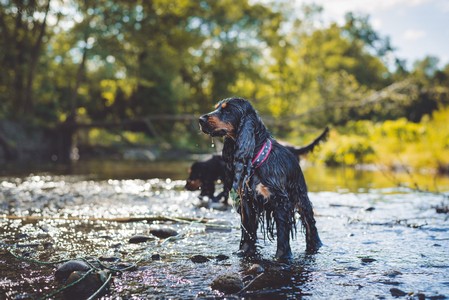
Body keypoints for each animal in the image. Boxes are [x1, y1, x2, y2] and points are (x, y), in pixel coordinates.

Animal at [198, 98, 320, 258]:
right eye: (216, 108)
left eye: (228, 110)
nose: (200, 119)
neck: (256, 160)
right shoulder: (247, 201)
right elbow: (248, 230)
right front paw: (245, 251)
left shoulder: (281, 202)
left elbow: (282, 234)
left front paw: (282, 257)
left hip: (301, 196)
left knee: (310, 223)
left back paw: (316, 246)